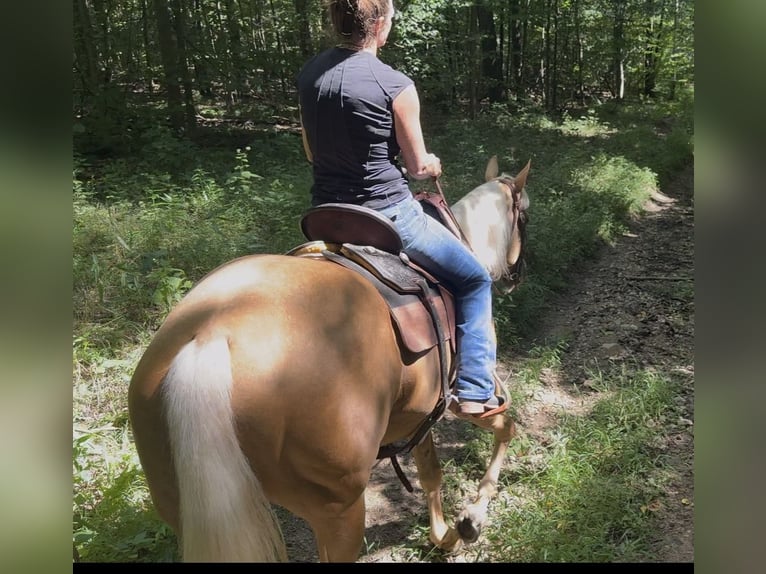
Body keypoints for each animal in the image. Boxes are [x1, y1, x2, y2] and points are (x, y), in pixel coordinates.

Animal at [128, 155, 531, 562]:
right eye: (525, 217)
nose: (516, 276)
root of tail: (212, 332)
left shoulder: (416, 414)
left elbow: (430, 471)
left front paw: (444, 535)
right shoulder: (457, 401)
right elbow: (506, 427)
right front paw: (471, 519)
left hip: (185, 506)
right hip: (339, 510)